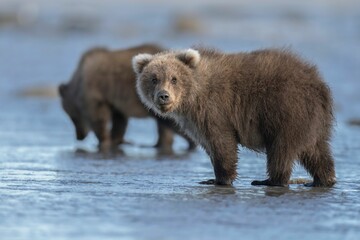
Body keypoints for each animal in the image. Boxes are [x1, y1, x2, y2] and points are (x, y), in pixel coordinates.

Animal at [58, 43, 197, 152]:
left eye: (72, 117)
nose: (79, 136)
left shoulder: (95, 93)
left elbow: (98, 117)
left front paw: (103, 141)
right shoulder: (114, 101)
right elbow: (119, 121)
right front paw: (115, 140)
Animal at [134, 46, 336, 186]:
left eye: (174, 78)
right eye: (154, 79)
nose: (163, 95)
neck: (192, 98)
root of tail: (318, 84)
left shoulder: (214, 109)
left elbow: (222, 142)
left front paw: (219, 179)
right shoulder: (194, 121)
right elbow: (210, 144)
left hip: (286, 109)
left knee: (281, 149)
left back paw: (270, 180)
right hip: (311, 121)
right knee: (315, 150)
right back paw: (322, 179)